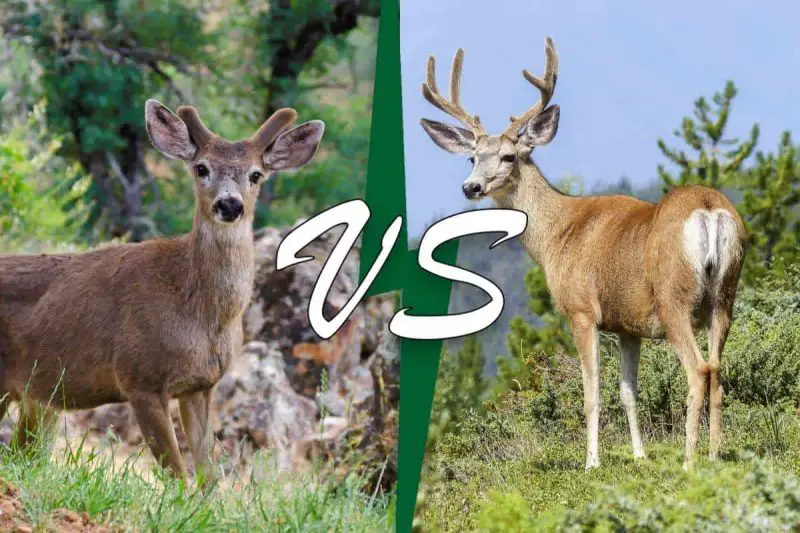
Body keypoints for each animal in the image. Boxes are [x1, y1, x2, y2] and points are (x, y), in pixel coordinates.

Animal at [0, 99, 325, 482]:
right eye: (201, 168)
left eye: (256, 174)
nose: (229, 205)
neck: (201, 313)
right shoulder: (140, 377)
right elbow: (178, 475)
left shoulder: (201, 386)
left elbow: (208, 477)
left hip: (38, 399)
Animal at [419, 37, 745, 470]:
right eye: (473, 157)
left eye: (508, 156)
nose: (470, 187)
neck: (557, 234)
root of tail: (709, 211)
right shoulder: (628, 325)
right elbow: (628, 391)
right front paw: (639, 456)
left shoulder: (581, 310)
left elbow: (592, 393)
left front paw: (592, 461)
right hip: (724, 295)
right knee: (718, 370)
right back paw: (714, 455)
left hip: (674, 296)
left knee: (699, 370)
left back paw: (690, 460)